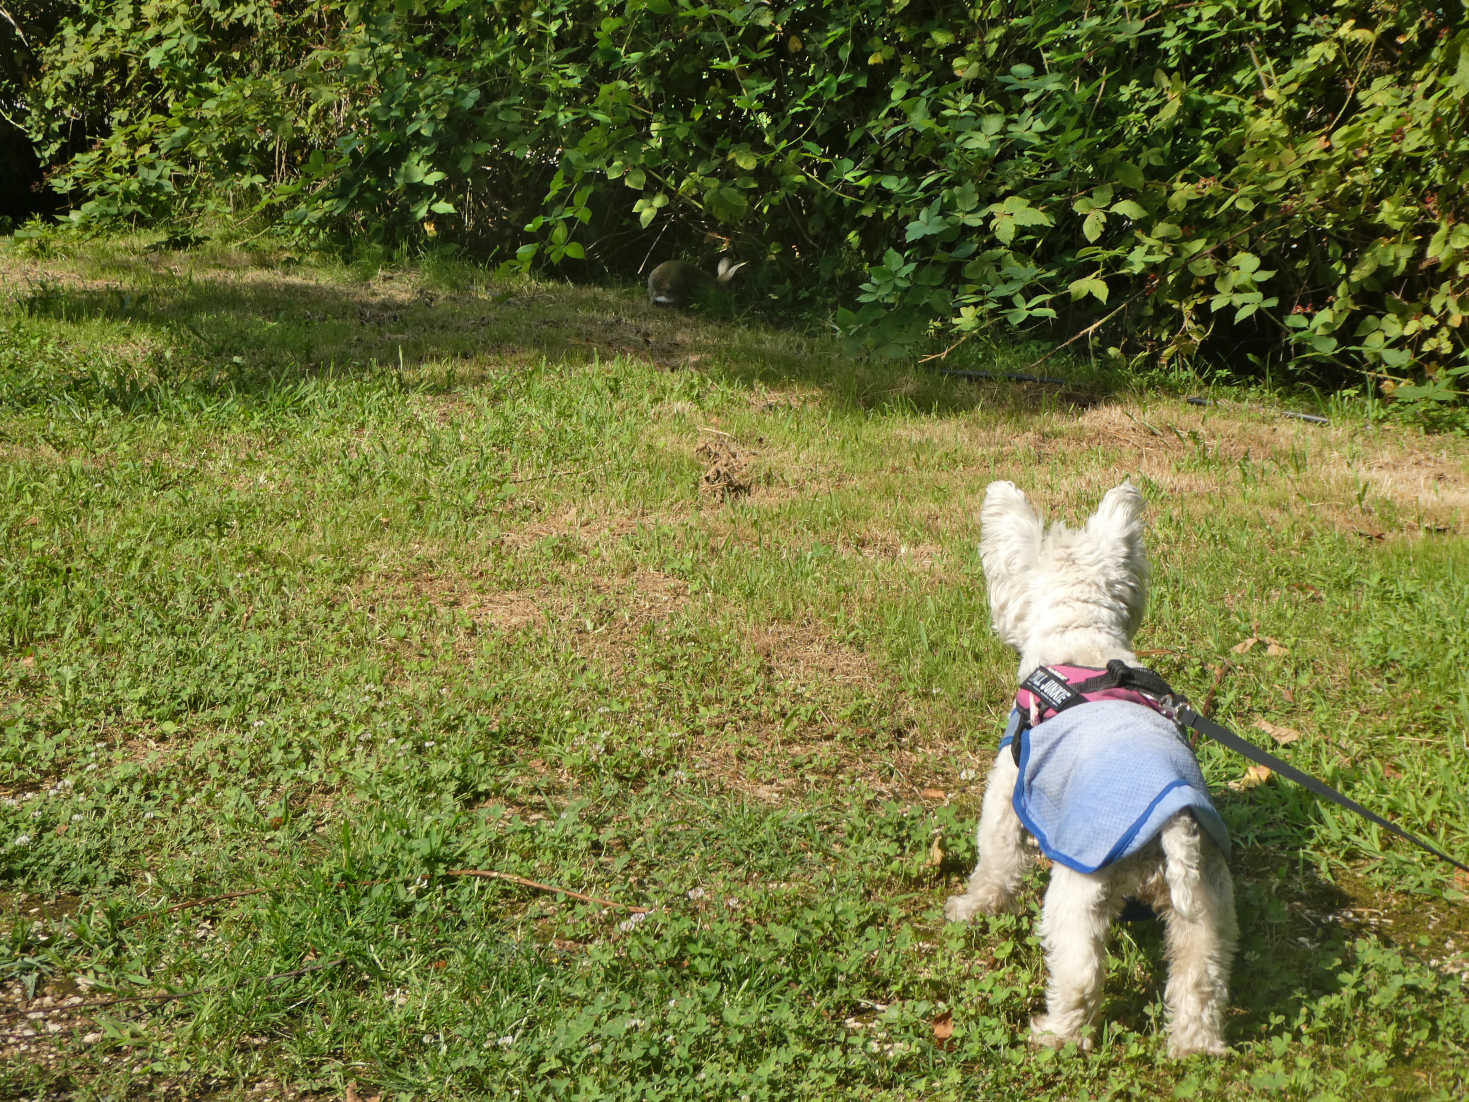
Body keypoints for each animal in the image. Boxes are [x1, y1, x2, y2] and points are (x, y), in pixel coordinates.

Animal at [946, 481, 1233, 1063]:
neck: (1082, 646)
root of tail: (1172, 826)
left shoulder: (1007, 790)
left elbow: (995, 861)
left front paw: (971, 907)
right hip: (1208, 908)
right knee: (1199, 981)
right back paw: (1193, 1049)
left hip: (1078, 894)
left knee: (1079, 976)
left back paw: (1054, 1036)